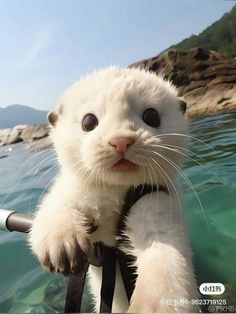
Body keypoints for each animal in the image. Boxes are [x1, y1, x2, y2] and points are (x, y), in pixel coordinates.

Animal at [29, 66, 199, 312]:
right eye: (88, 121)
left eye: (151, 116)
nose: (121, 141)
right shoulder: (74, 188)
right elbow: (55, 206)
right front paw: (62, 245)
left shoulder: (157, 200)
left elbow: (163, 259)